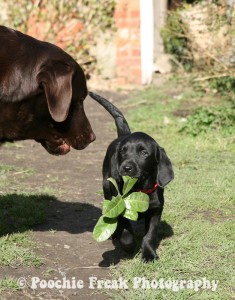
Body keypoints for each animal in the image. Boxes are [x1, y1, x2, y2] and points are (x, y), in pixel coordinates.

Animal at [89, 92, 173, 262]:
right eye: (123, 151)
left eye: (144, 153)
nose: (126, 167)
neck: (139, 189)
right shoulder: (119, 205)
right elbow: (126, 230)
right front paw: (128, 246)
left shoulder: (156, 210)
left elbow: (150, 235)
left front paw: (149, 254)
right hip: (107, 186)